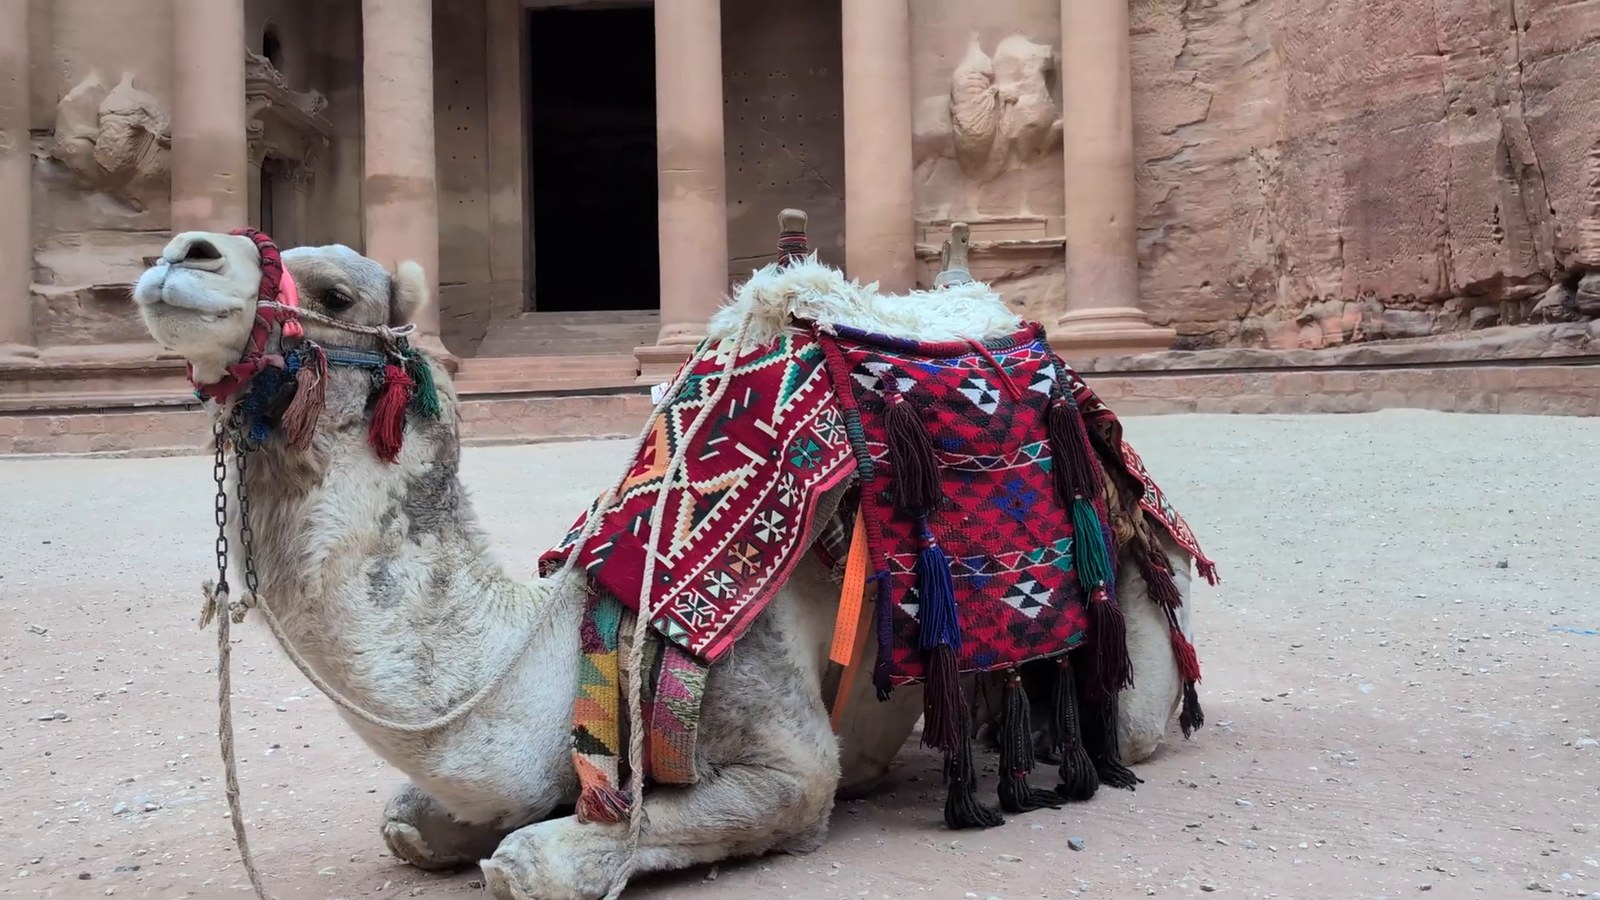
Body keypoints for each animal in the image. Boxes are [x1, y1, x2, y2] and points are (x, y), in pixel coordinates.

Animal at [131, 228, 1200, 900]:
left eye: (337, 293)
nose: (180, 255)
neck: (559, 639)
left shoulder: (778, 735)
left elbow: (550, 858)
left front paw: (539, 855)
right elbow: (410, 817)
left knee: (1132, 719)